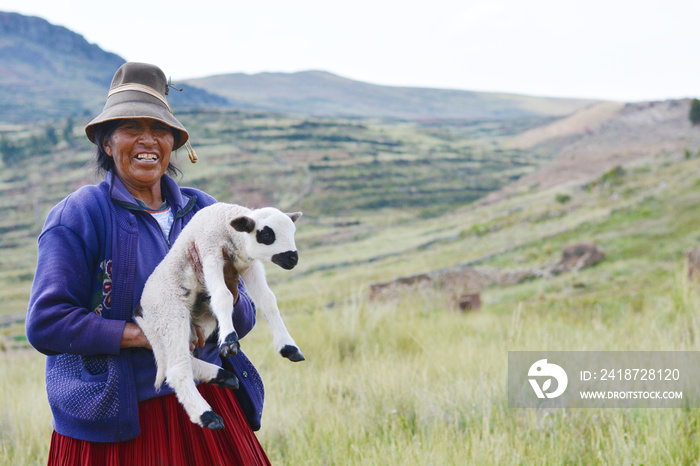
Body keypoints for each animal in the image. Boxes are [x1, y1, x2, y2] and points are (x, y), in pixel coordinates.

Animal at [134, 203, 304, 430]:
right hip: (170, 315)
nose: (293, 258)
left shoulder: (247, 266)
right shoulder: (209, 253)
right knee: (176, 370)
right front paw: (229, 342)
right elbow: (223, 296)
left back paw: (222, 376)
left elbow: (268, 300)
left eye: (293, 232)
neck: (226, 223)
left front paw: (289, 347)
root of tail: (142, 312)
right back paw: (207, 416)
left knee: (184, 359)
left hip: (198, 322)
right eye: (267, 235)